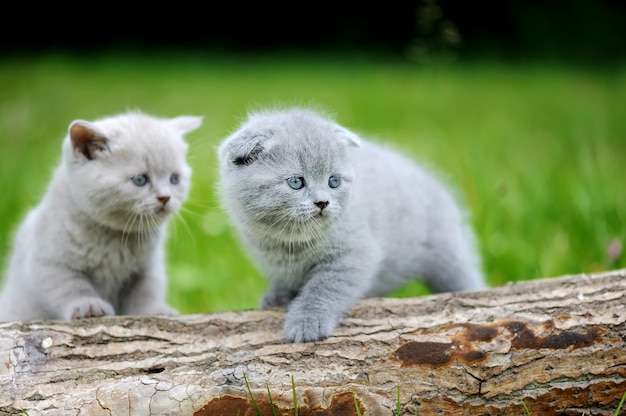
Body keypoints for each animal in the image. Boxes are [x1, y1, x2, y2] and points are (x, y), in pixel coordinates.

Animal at [0, 110, 201, 322]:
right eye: (140, 180)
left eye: (174, 179)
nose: (165, 197)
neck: (116, 237)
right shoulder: (48, 262)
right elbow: (70, 286)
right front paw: (87, 305)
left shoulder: (147, 268)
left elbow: (146, 290)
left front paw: (154, 310)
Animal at [217, 106, 486, 342]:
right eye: (295, 182)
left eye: (333, 181)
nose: (322, 202)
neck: (289, 242)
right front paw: (277, 296)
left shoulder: (354, 255)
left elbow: (324, 287)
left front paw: (307, 322)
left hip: (446, 249)